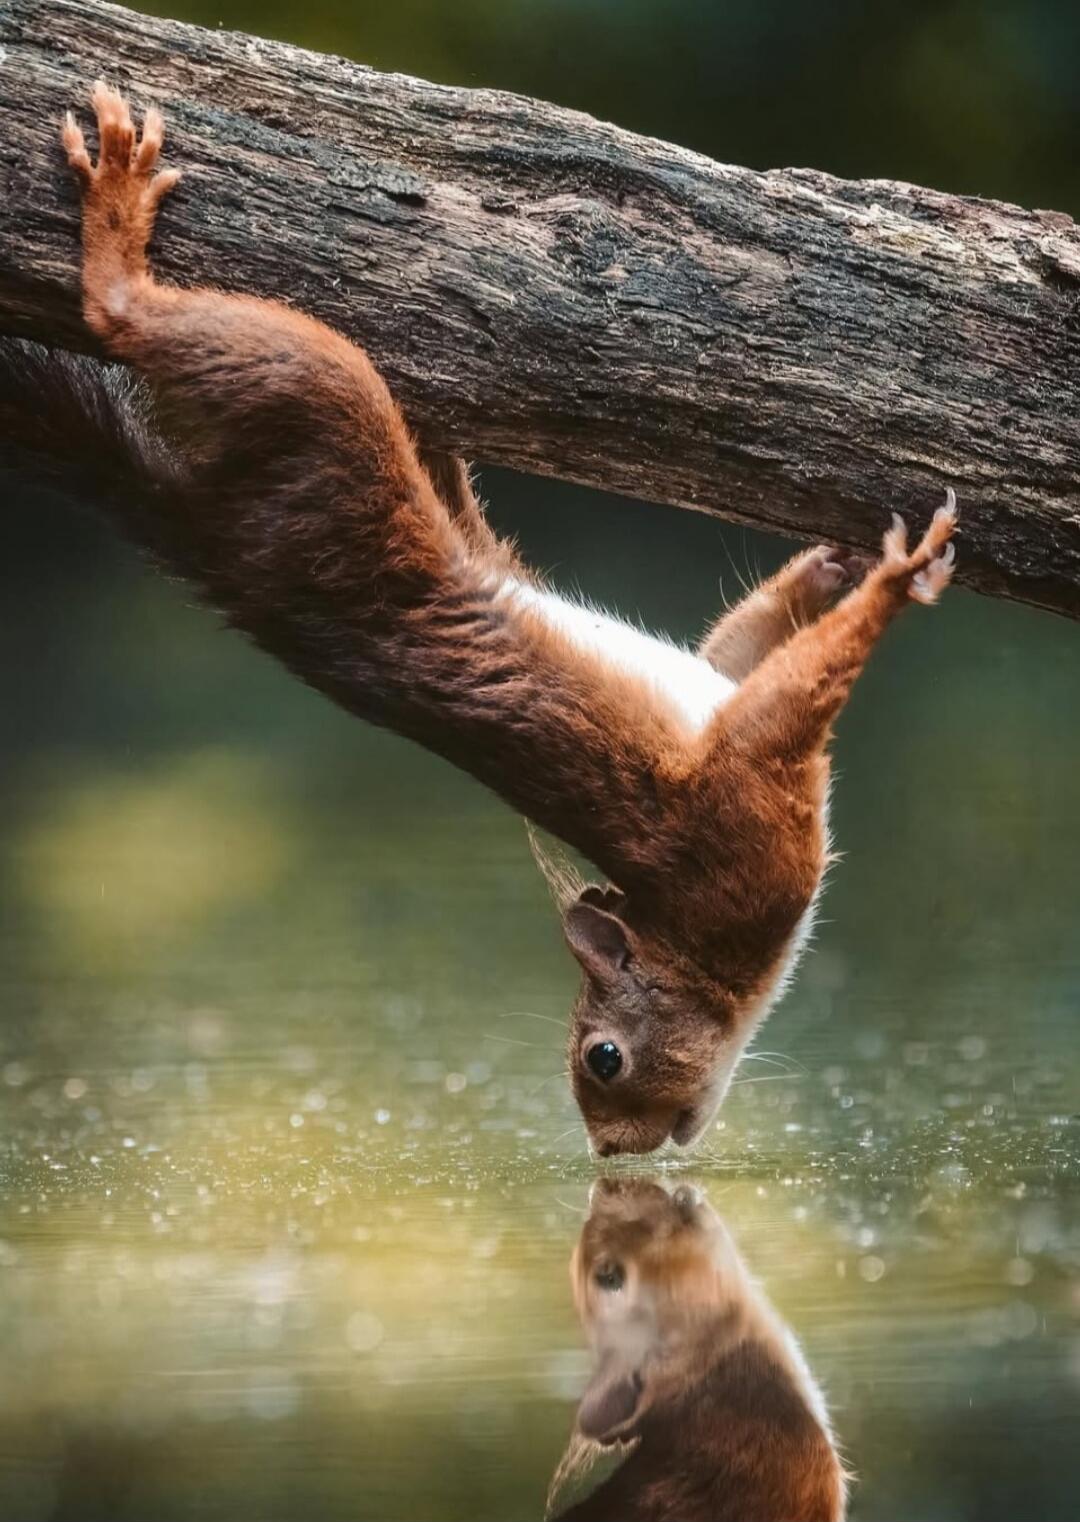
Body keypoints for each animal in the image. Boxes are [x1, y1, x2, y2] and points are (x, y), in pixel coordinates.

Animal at [0, 86, 957, 1156]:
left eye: (601, 1057)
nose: (613, 1151)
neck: (703, 941)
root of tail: (199, 533)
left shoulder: (733, 761)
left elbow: (739, 656)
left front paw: (842, 564)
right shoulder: (744, 812)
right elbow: (786, 698)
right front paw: (894, 579)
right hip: (329, 418)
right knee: (141, 323)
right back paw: (118, 244)